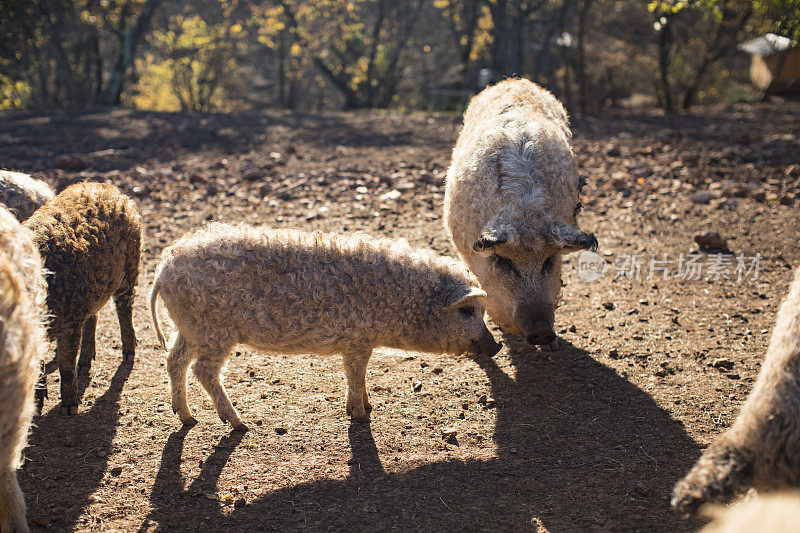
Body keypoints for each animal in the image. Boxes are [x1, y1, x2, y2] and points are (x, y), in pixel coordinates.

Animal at [23, 181, 142, 414]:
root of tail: (108, 189)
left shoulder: (69, 321)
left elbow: (66, 363)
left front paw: (69, 409)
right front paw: (36, 408)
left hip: (131, 265)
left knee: (125, 308)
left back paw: (128, 354)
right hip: (91, 293)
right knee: (93, 317)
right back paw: (85, 365)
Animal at [150, 222, 500, 430]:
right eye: (467, 310)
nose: (496, 345)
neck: (396, 297)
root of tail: (163, 269)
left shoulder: (361, 341)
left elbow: (360, 376)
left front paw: (368, 405)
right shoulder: (358, 339)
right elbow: (355, 374)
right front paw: (360, 415)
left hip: (189, 328)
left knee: (174, 360)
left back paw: (188, 418)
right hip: (214, 331)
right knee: (203, 370)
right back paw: (239, 424)